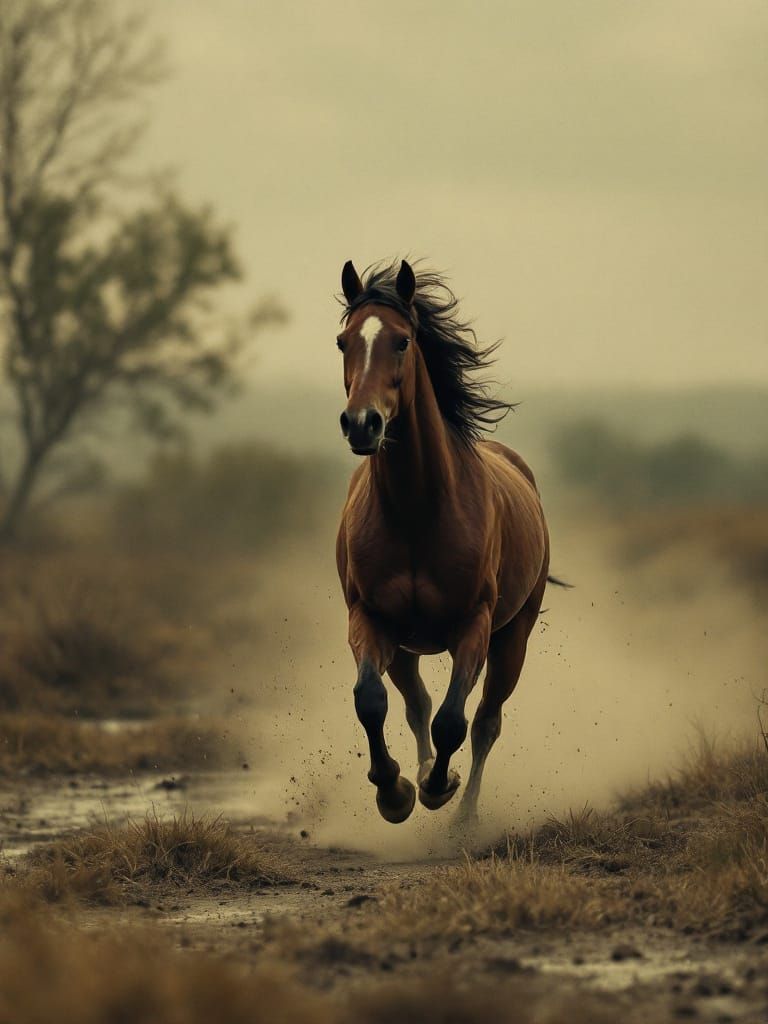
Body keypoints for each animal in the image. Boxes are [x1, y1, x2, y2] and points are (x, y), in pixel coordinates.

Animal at [335, 258, 557, 827]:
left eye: (403, 341)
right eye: (343, 341)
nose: (362, 423)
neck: (418, 513)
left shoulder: (473, 625)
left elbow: (454, 721)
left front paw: (439, 788)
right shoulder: (371, 618)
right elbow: (371, 701)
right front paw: (394, 793)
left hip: (514, 636)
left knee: (486, 722)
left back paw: (464, 816)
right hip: (405, 647)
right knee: (415, 703)